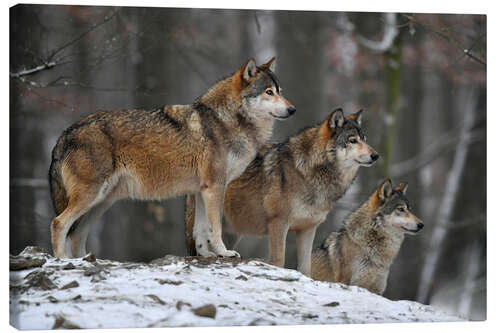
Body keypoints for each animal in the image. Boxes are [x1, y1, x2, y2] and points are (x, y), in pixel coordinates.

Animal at [48, 57, 294, 258]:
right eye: (269, 92)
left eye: (280, 90)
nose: (293, 110)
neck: (226, 120)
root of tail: (64, 134)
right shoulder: (215, 187)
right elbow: (215, 228)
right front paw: (224, 253)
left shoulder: (200, 190)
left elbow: (200, 230)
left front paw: (206, 255)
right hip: (91, 196)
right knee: (58, 223)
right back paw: (63, 261)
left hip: (102, 201)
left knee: (77, 234)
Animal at [188, 107, 378, 274]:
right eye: (353, 140)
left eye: (365, 139)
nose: (376, 155)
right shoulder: (278, 222)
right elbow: (279, 260)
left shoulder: (308, 228)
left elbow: (305, 269)